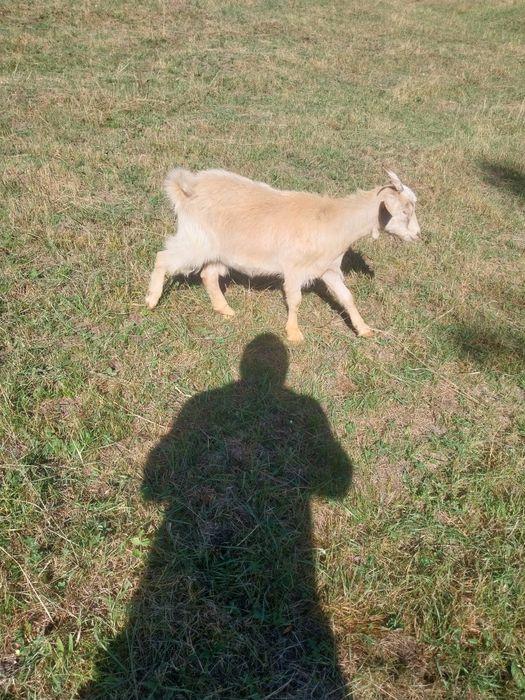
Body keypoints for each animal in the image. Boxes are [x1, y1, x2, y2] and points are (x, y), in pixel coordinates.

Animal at [146, 168, 420, 342]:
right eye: (405, 211)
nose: (418, 235)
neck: (336, 220)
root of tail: (187, 188)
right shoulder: (295, 267)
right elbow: (295, 300)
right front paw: (294, 334)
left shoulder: (328, 269)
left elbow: (347, 298)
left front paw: (364, 329)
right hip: (196, 240)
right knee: (163, 257)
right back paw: (151, 300)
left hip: (218, 251)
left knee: (209, 275)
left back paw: (225, 309)